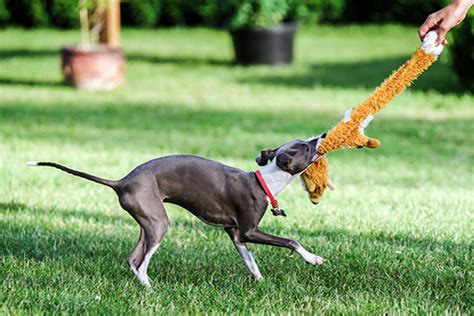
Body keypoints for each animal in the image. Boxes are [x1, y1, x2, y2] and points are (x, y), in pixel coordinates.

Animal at [27, 134, 328, 286]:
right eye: (305, 145)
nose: (323, 135)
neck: (264, 180)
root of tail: (122, 181)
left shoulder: (235, 234)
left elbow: (250, 261)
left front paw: (260, 281)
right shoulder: (249, 230)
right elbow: (291, 240)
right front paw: (312, 259)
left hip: (148, 220)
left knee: (132, 258)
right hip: (159, 224)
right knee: (140, 262)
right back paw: (150, 289)